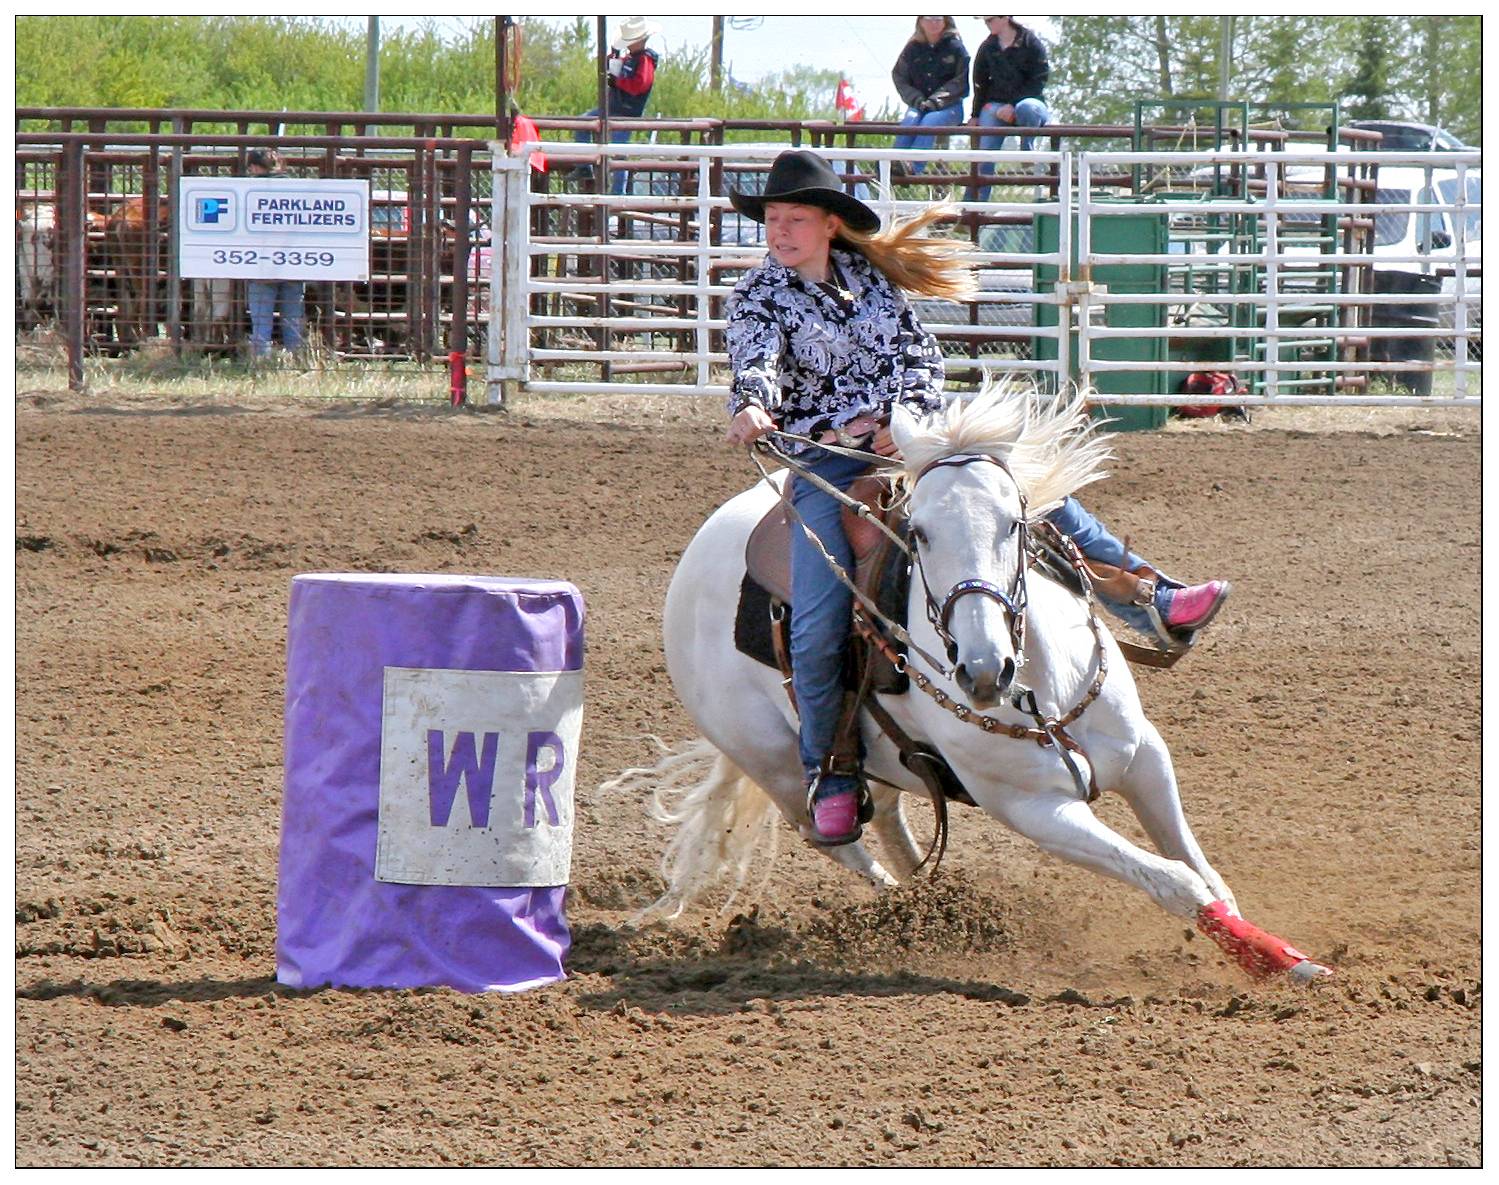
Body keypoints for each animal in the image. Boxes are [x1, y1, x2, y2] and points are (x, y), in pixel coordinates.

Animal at [611, 380, 1337, 982]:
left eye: (1015, 521)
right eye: (918, 532)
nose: (983, 670)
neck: (1039, 684)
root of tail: (699, 552)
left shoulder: (1143, 759)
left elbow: (1203, 871)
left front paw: (1269, 949)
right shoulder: (1035, 809)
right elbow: (1174, 881)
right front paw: (1279, 961)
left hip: (874, 755)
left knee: (891, 824)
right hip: (776, 766)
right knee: (838, 839)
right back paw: (899, 914)